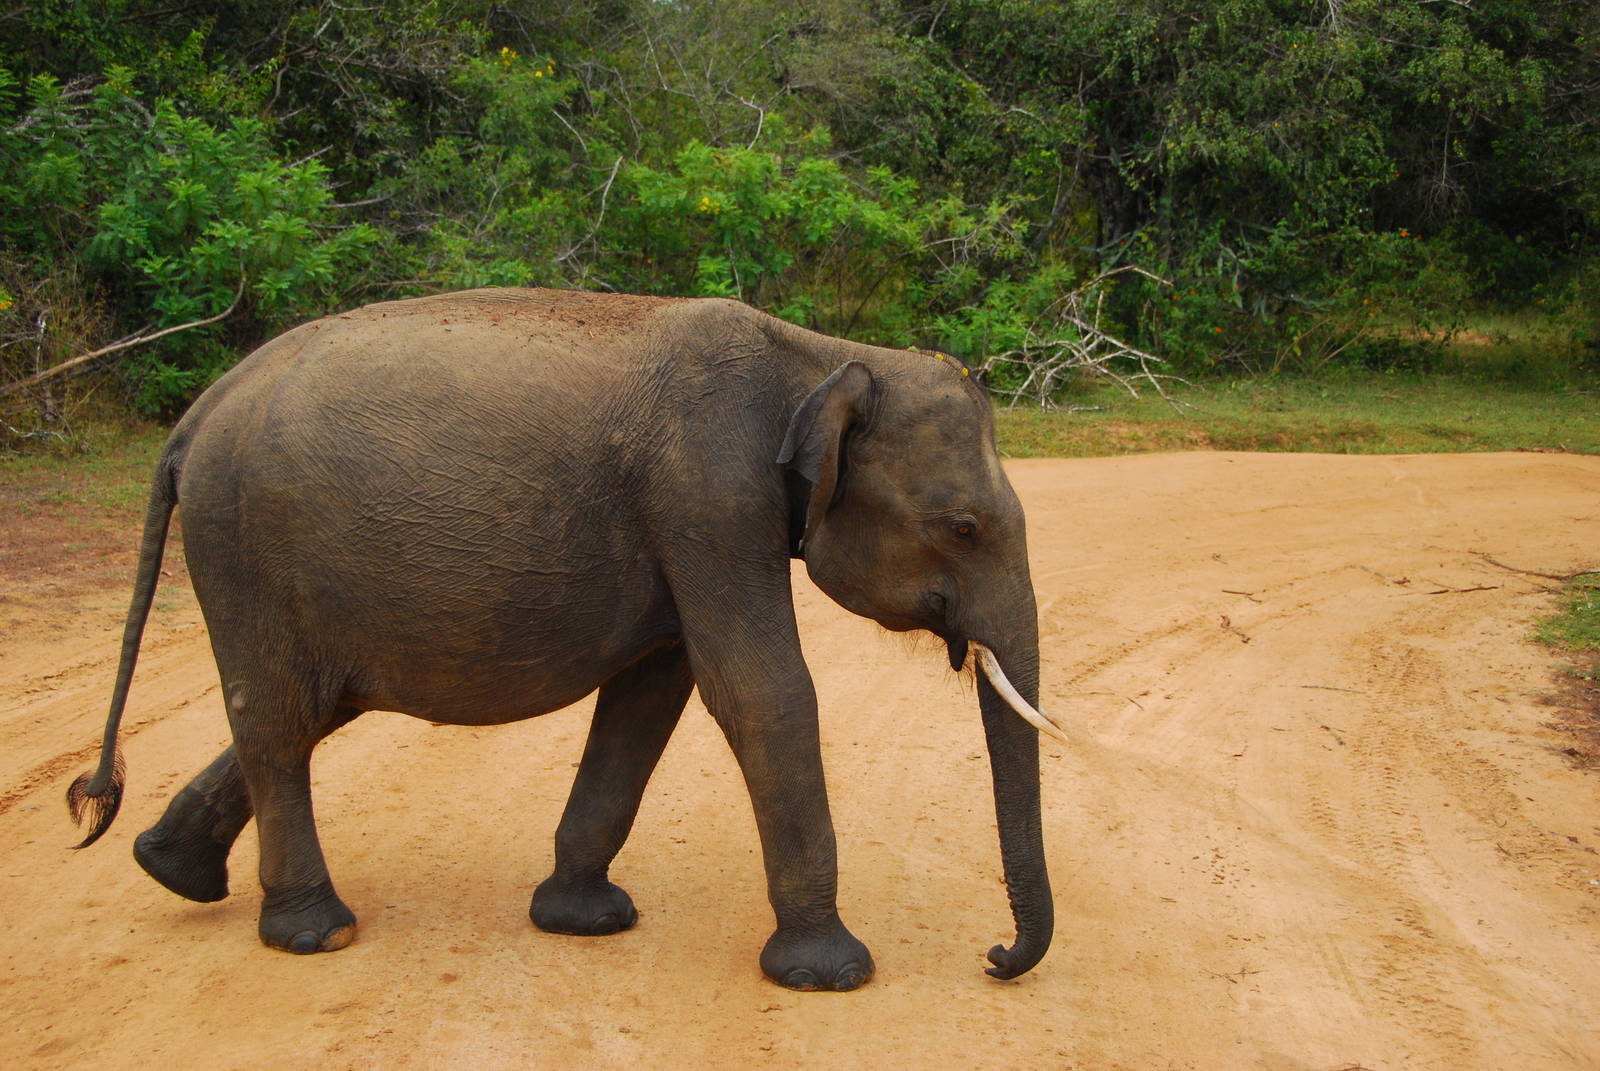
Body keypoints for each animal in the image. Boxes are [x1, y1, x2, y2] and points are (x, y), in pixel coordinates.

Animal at [67, 287, 1065, 991]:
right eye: (963, 528)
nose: (992, 954)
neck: (820, 355)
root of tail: (192, 421)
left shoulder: (692, 520)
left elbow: (651, 693)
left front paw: (583, 920)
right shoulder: (709, 493)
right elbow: (761, 689)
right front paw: (832, 973)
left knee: (308, 708)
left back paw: (171, 870)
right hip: (241, 544)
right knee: (279, 719)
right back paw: (316, 931)